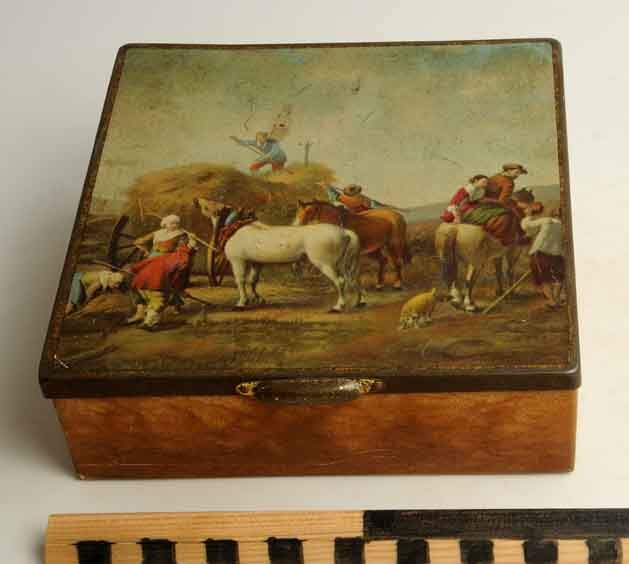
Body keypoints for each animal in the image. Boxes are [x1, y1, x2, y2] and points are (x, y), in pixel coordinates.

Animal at [198, 202, 364, 312]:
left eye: (209, 207)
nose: (196, 202)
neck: (237, 227)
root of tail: (344, 231)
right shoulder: (256, 263)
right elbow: (253, 281)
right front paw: (257, 299)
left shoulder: (238, 261)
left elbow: (241, 281)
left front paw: (241, 303)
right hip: (340, 264)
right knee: (352, 279)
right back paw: (358, 303)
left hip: (325, 264)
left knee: (340, 281)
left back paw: (339, 306)